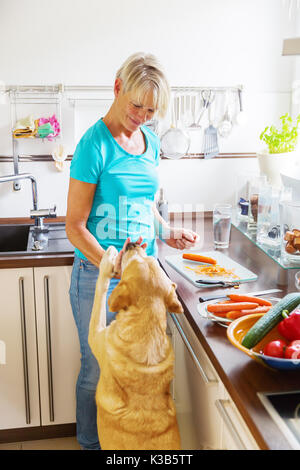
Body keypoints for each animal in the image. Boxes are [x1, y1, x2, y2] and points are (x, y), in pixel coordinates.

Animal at [88, 241, 184, 450]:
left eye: (135, 260)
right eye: (148, 258)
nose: (132, 244)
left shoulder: (96, 337)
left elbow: (101, 288)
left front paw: (108, 258)